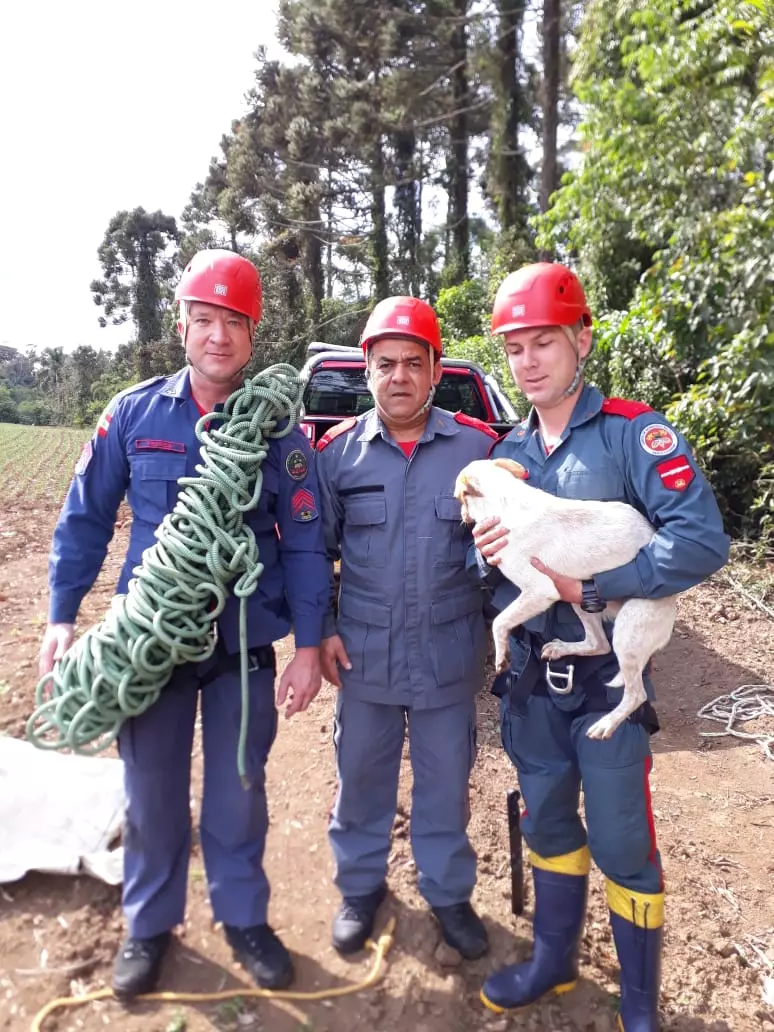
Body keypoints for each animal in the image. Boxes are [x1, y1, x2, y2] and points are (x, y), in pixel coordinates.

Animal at [458, 456, 676, 738]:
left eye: (459, 498)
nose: (461, 518)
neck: (507, 499)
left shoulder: (539, 591)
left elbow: (499, 622)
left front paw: (501, 654)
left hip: (627, 631)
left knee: (636, 694)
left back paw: (606, 724)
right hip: (580, 599)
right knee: (599, 643)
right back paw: (561, 648)